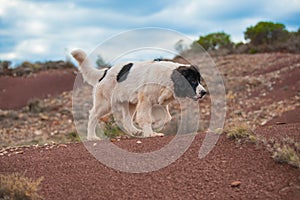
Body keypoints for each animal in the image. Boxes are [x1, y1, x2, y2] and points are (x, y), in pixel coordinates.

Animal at [72, 49, 206, 140]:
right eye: (193, 81)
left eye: (199, 80)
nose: (204, 92)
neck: (168, 78)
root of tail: (105, 72)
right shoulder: (145, 100)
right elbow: (146, 117)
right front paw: (149, 133)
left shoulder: (158, 103)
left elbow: (167, 118)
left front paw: (154, 127)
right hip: (105, 104)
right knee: (93, 115)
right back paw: (91, 137)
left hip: (129, 103)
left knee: (126, 120)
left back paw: (135, 131)